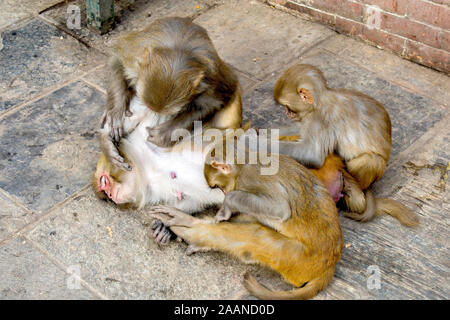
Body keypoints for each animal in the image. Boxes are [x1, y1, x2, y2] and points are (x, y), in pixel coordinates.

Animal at [101, 17, 243, 171]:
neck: (178, 50)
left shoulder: (211, 80)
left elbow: (212, 104)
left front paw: (163, 134)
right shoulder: (134, 57)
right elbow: (116, 60)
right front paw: (117, 112)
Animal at [149, 148, 342, 300]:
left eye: (217, 186)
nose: (223, 191)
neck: (244, 165)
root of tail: (331, 265)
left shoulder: (250, 179)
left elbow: (279, 209)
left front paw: (226, 203)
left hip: (300, 259)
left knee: (261, 235)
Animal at [270, 63, 418, 226]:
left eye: (288, 107)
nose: (286, 113)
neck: (320, 99)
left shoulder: (320, 118)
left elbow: (312, 154)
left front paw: (258, 142)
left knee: (371, 160)